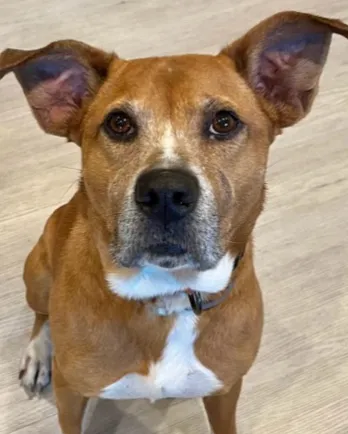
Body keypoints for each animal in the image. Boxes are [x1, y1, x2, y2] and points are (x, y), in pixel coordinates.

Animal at [0, 10, 346, 434]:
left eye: (224, 122)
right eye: (118, 123)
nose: (165, 193)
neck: (166, 295)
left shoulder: (225, 389)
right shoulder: (71, 392)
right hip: (37, 270)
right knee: (41, 314)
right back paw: (38, 353)